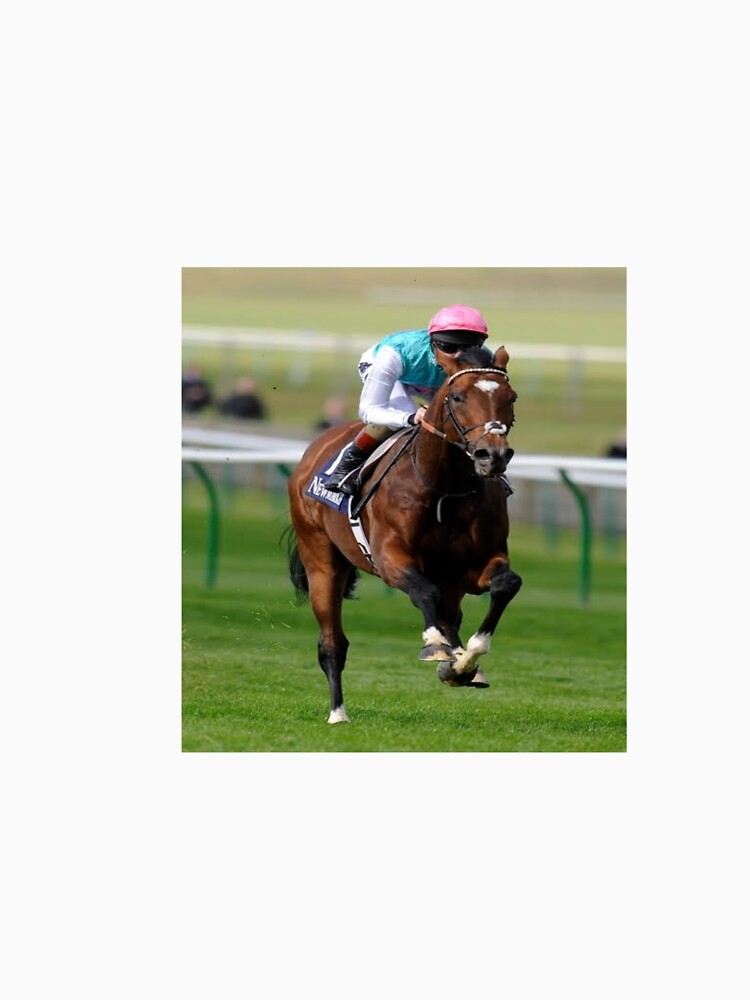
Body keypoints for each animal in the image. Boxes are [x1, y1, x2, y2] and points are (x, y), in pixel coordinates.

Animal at [285, 344, 522, 723]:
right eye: (457, 397)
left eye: (510, 397)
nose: (493, 455)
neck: (445, 488)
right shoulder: (391, 559)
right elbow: (423, 591)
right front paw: (435, 646)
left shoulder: (476, 565)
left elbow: (506, 584)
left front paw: (467, 659)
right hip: (320, 559)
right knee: (332, 643)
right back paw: (338, 713)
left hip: (450, 580)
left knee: (451, 616)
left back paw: (462, 667)